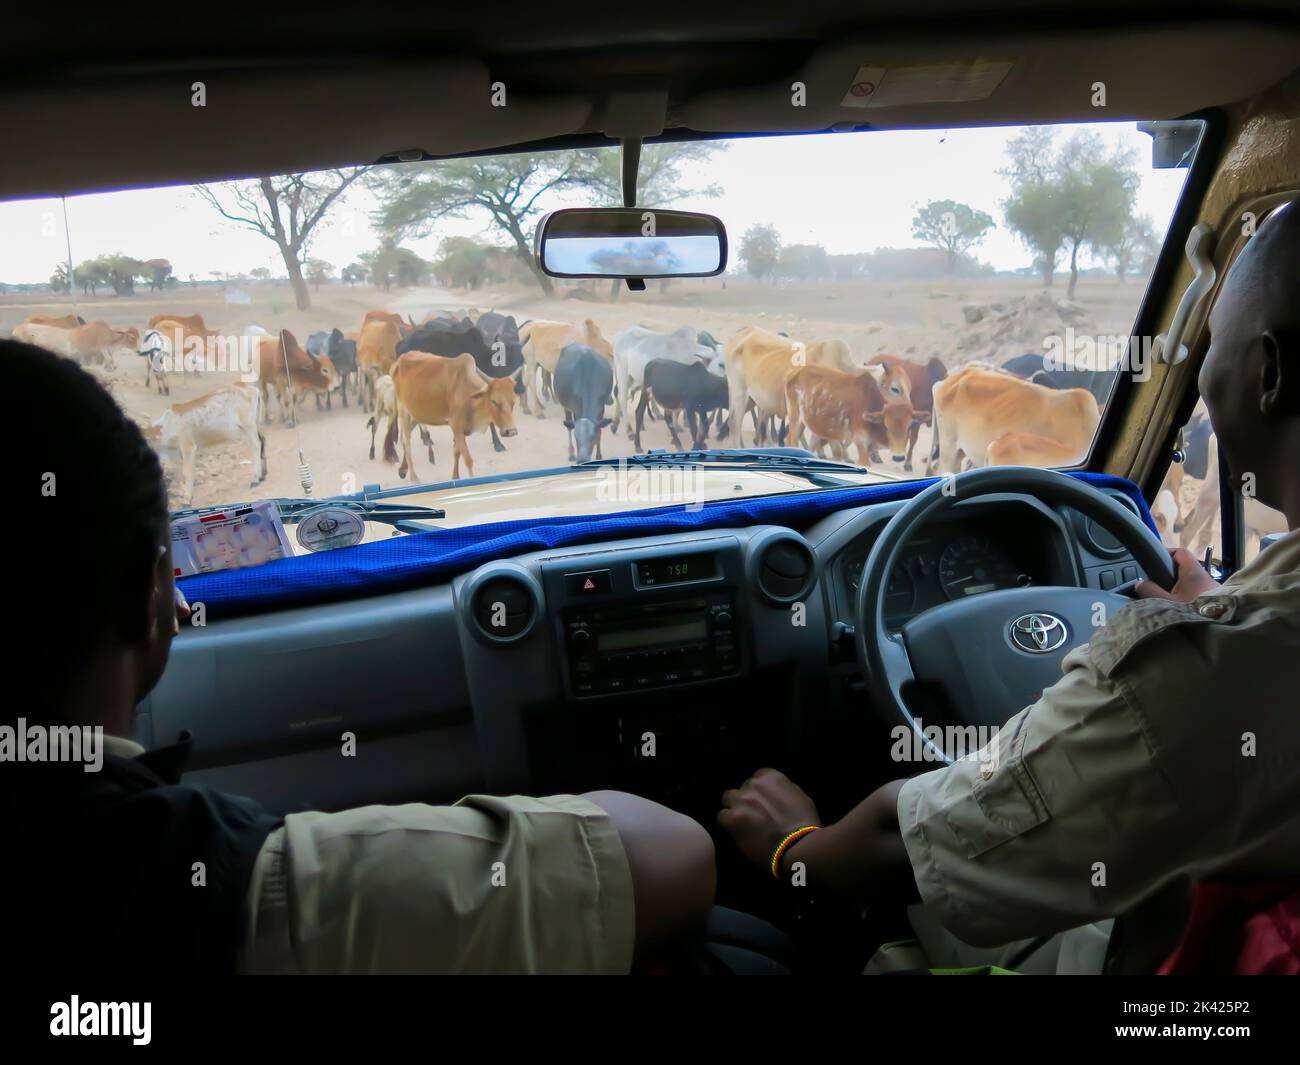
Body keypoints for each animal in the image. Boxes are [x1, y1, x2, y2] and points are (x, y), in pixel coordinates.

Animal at [387, 351, 520, 481]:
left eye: (513, 402)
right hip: (403, 410)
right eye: (494, 401)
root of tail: (399, 361)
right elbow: (468, 459)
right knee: (406, 441)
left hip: (417, 414)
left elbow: (457, 452)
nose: (511, 431)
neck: (469, 396)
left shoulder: (461, 430)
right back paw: (414, 477)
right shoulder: (456, 426)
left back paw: (403, 470)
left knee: (404, 438)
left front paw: (455, 477)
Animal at [780, 361, 915, 465]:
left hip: (806, 421)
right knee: (793, 441)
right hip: (794, 416)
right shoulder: (861, 441)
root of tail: (796, 371)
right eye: (895, 389)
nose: (909, 409)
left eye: (910, 389)